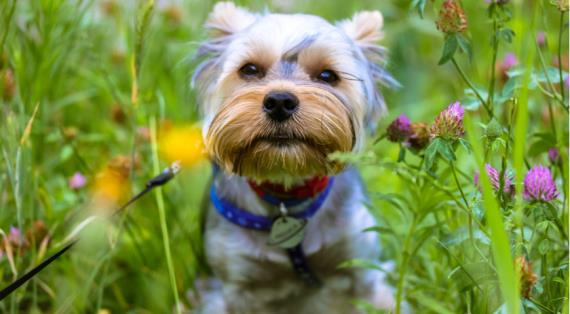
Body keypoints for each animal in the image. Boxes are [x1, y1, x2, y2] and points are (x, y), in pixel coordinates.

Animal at [191, 1, 394, 312]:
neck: (286, 189)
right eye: (250, 69)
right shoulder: (235, 285)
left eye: (327, 76)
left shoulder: (360, 269)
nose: (279, 101)